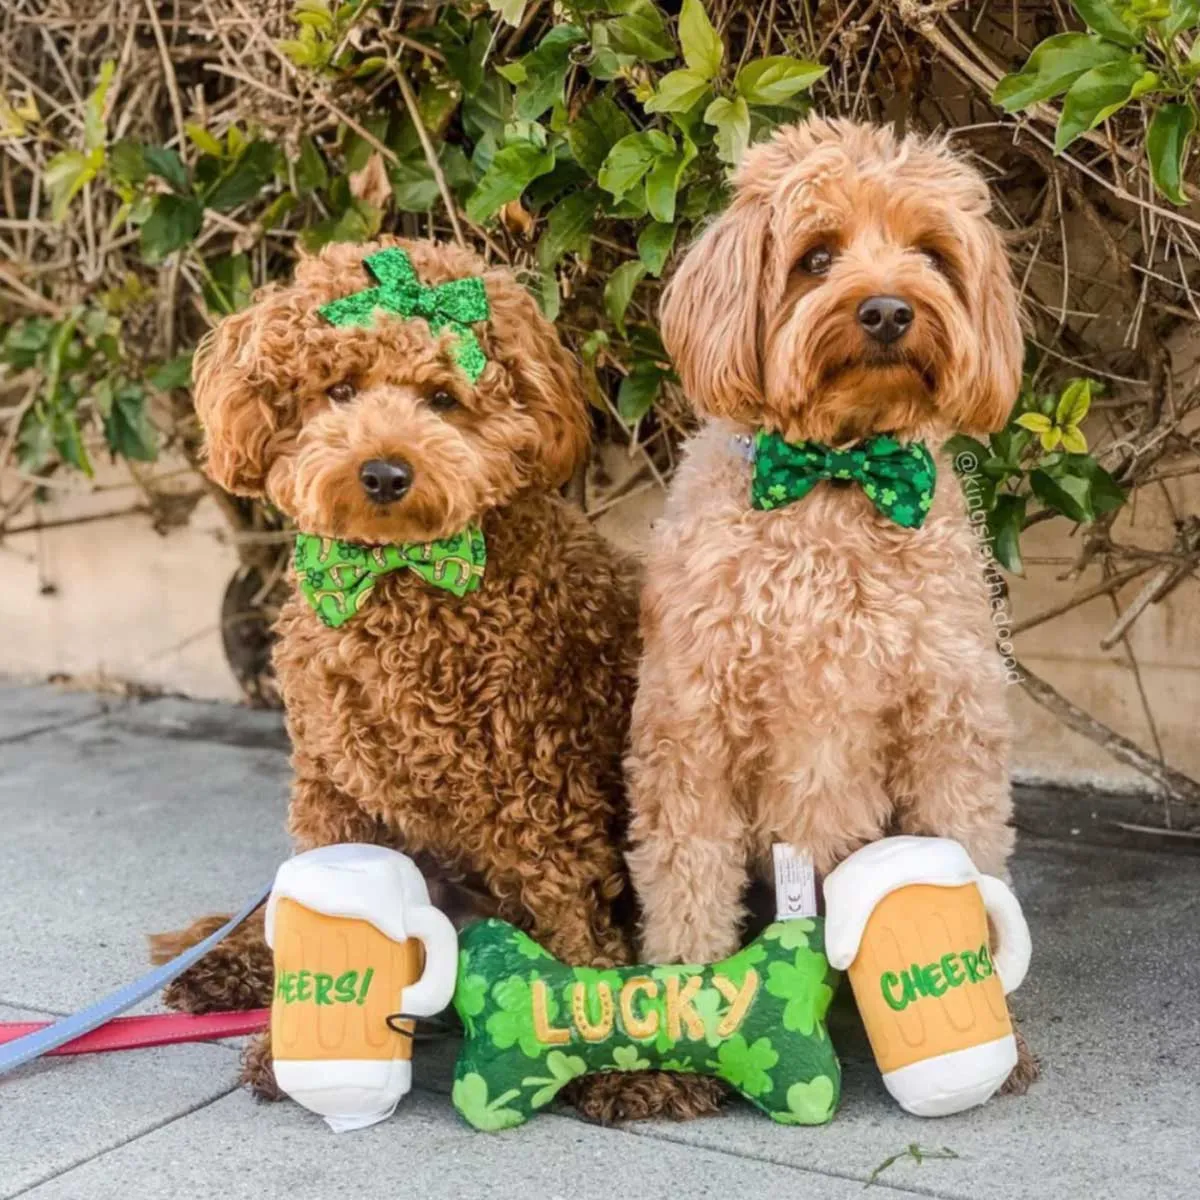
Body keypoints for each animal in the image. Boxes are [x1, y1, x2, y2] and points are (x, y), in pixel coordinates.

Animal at [154, 238, 720, 1118]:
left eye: (444, 399)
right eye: (339, 389)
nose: (384, 472)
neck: (402, 583)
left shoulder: (539, 792)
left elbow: (575, 925)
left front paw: (623, 1059)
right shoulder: (334, 790)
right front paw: (288, 1046)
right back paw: (225, 963)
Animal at [624, 121, 1036, 1099]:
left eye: (931, 254)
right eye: (815, 257)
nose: (886, 310)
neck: (838, 481)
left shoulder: (948, 721)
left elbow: (971, 854)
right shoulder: (691, 732)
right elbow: (687, 883)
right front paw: (684, 1031)